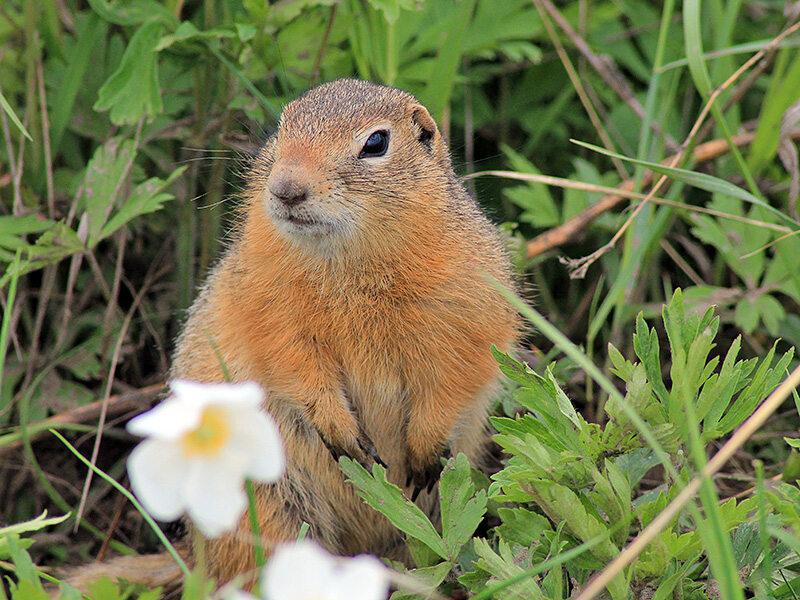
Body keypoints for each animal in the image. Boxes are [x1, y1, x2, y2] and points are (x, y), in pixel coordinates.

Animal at [67, 77, 520, 592]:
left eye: (376, 143)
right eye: (281, 127)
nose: (286, 188)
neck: (349, 263)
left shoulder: (470, 306)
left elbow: (456, 377)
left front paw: (423, 450)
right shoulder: (268, 308)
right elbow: (295, 368)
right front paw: (345, 437)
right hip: (266, 507)